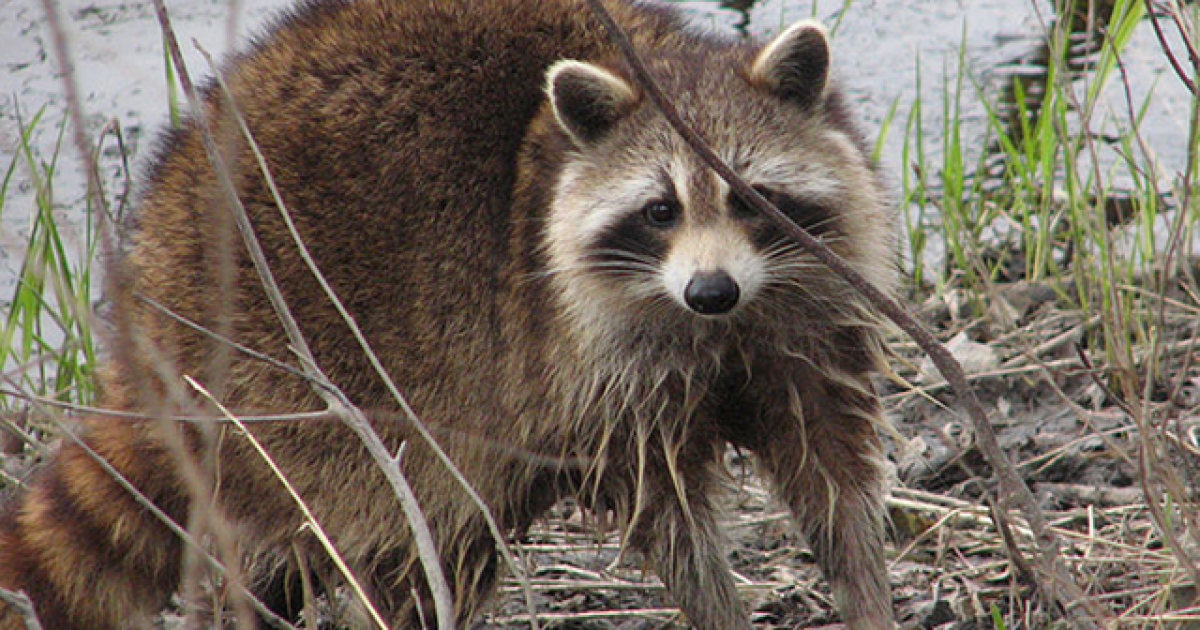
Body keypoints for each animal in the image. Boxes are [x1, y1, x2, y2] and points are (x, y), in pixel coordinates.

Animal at [0, 0, 897, 628]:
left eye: (749, 198)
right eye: (658, 211)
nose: (710, 291)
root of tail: (144, 308)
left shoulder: (804, 318)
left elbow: (831, 466)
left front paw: (865, 590)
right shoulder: (586, 360)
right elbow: (667, 511)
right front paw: (719, 607)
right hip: (288, 377)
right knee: (413, 526)